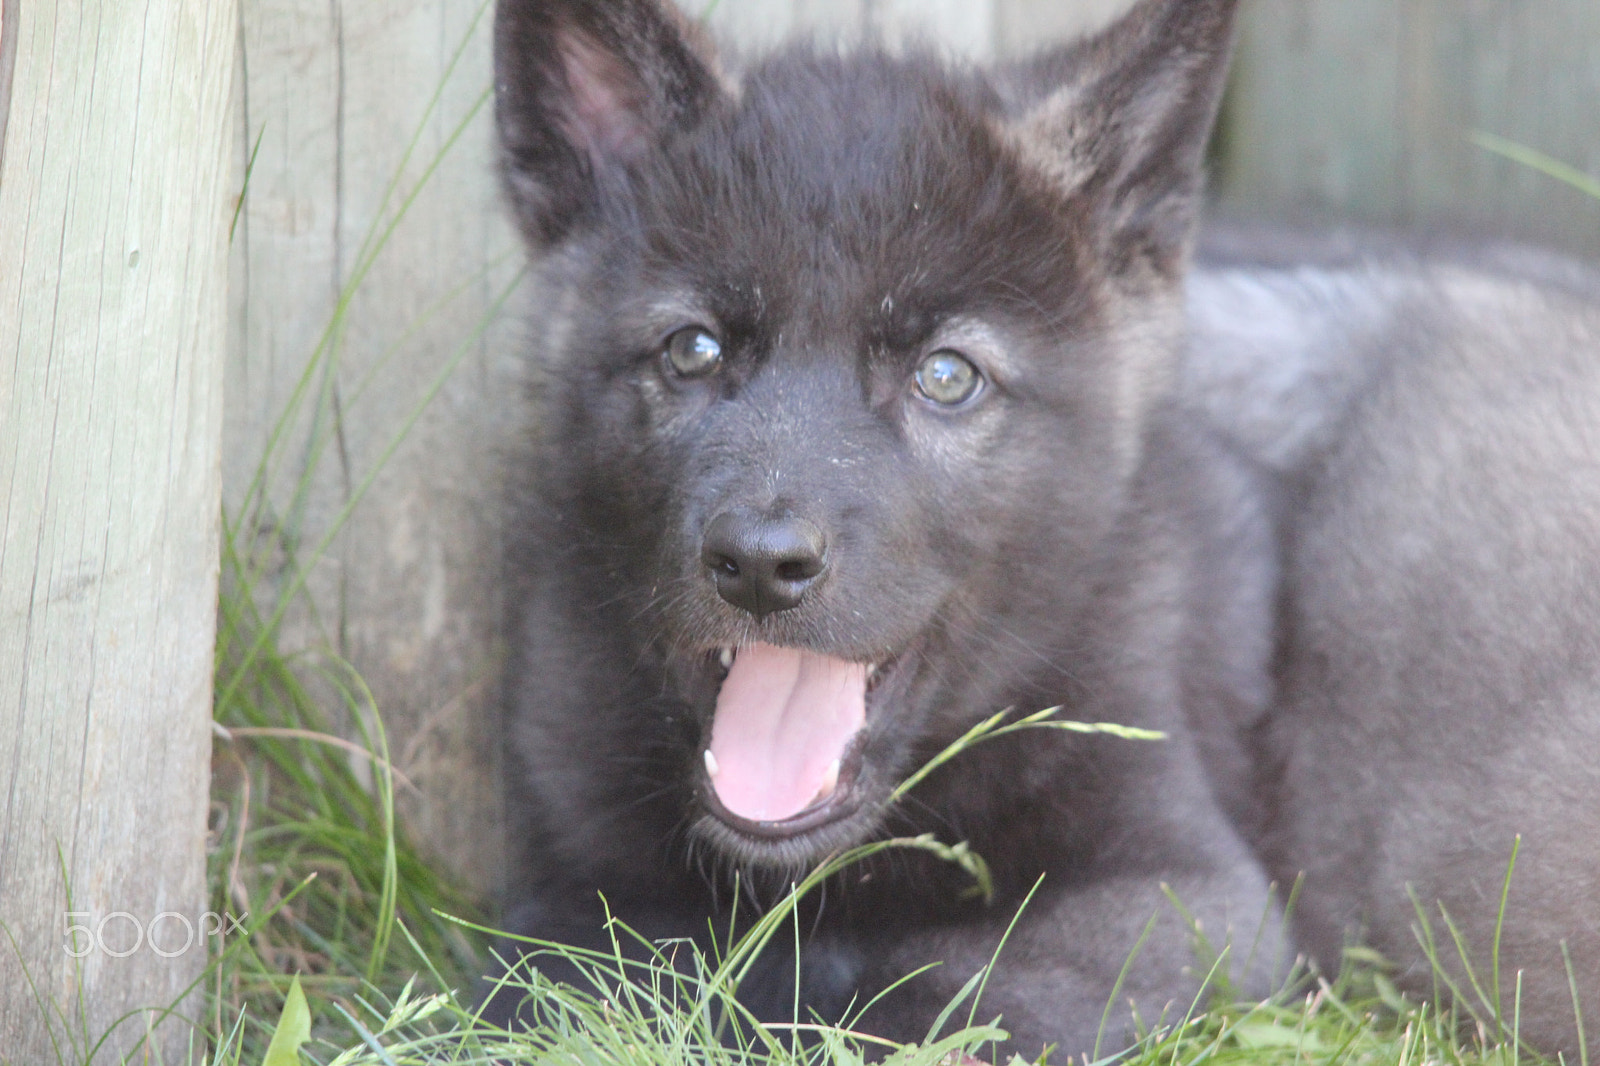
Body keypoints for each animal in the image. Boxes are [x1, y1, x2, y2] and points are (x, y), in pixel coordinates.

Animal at [486, 0, 1600, 1056]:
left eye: (946, 376)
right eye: (693, 349)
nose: (760, 565)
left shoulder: (1184, 896)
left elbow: (940, 995)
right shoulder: (561, 903)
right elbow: (597, 975)